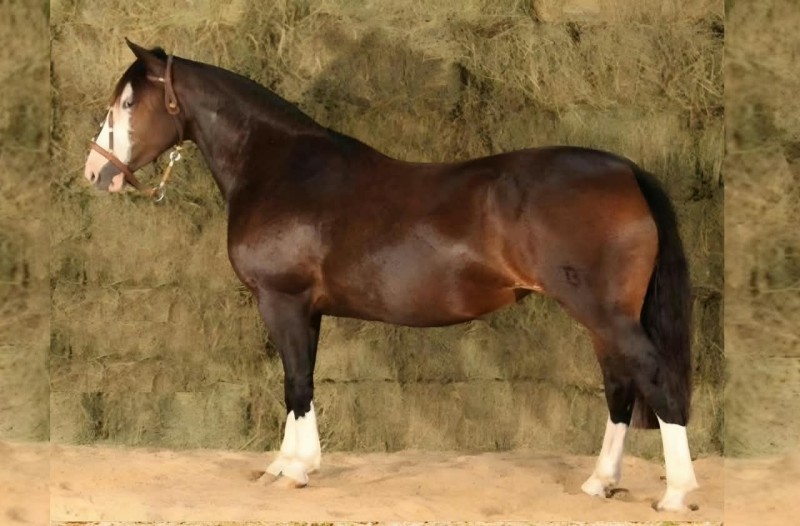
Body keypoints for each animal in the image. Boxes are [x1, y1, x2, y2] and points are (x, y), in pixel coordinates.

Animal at [83, 39, 699, 512]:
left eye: (130, 100)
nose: (95, 172)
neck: (278, 166)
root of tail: (625, 170)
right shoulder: (306, 309)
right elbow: (300, 382)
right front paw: (288, 464)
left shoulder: (280, 301)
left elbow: (295, 382)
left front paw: (294, 470)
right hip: (601, 319)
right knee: (619, 387)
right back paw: (600, 482)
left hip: (604, 314)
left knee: (653, 378)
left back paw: (676, 494)